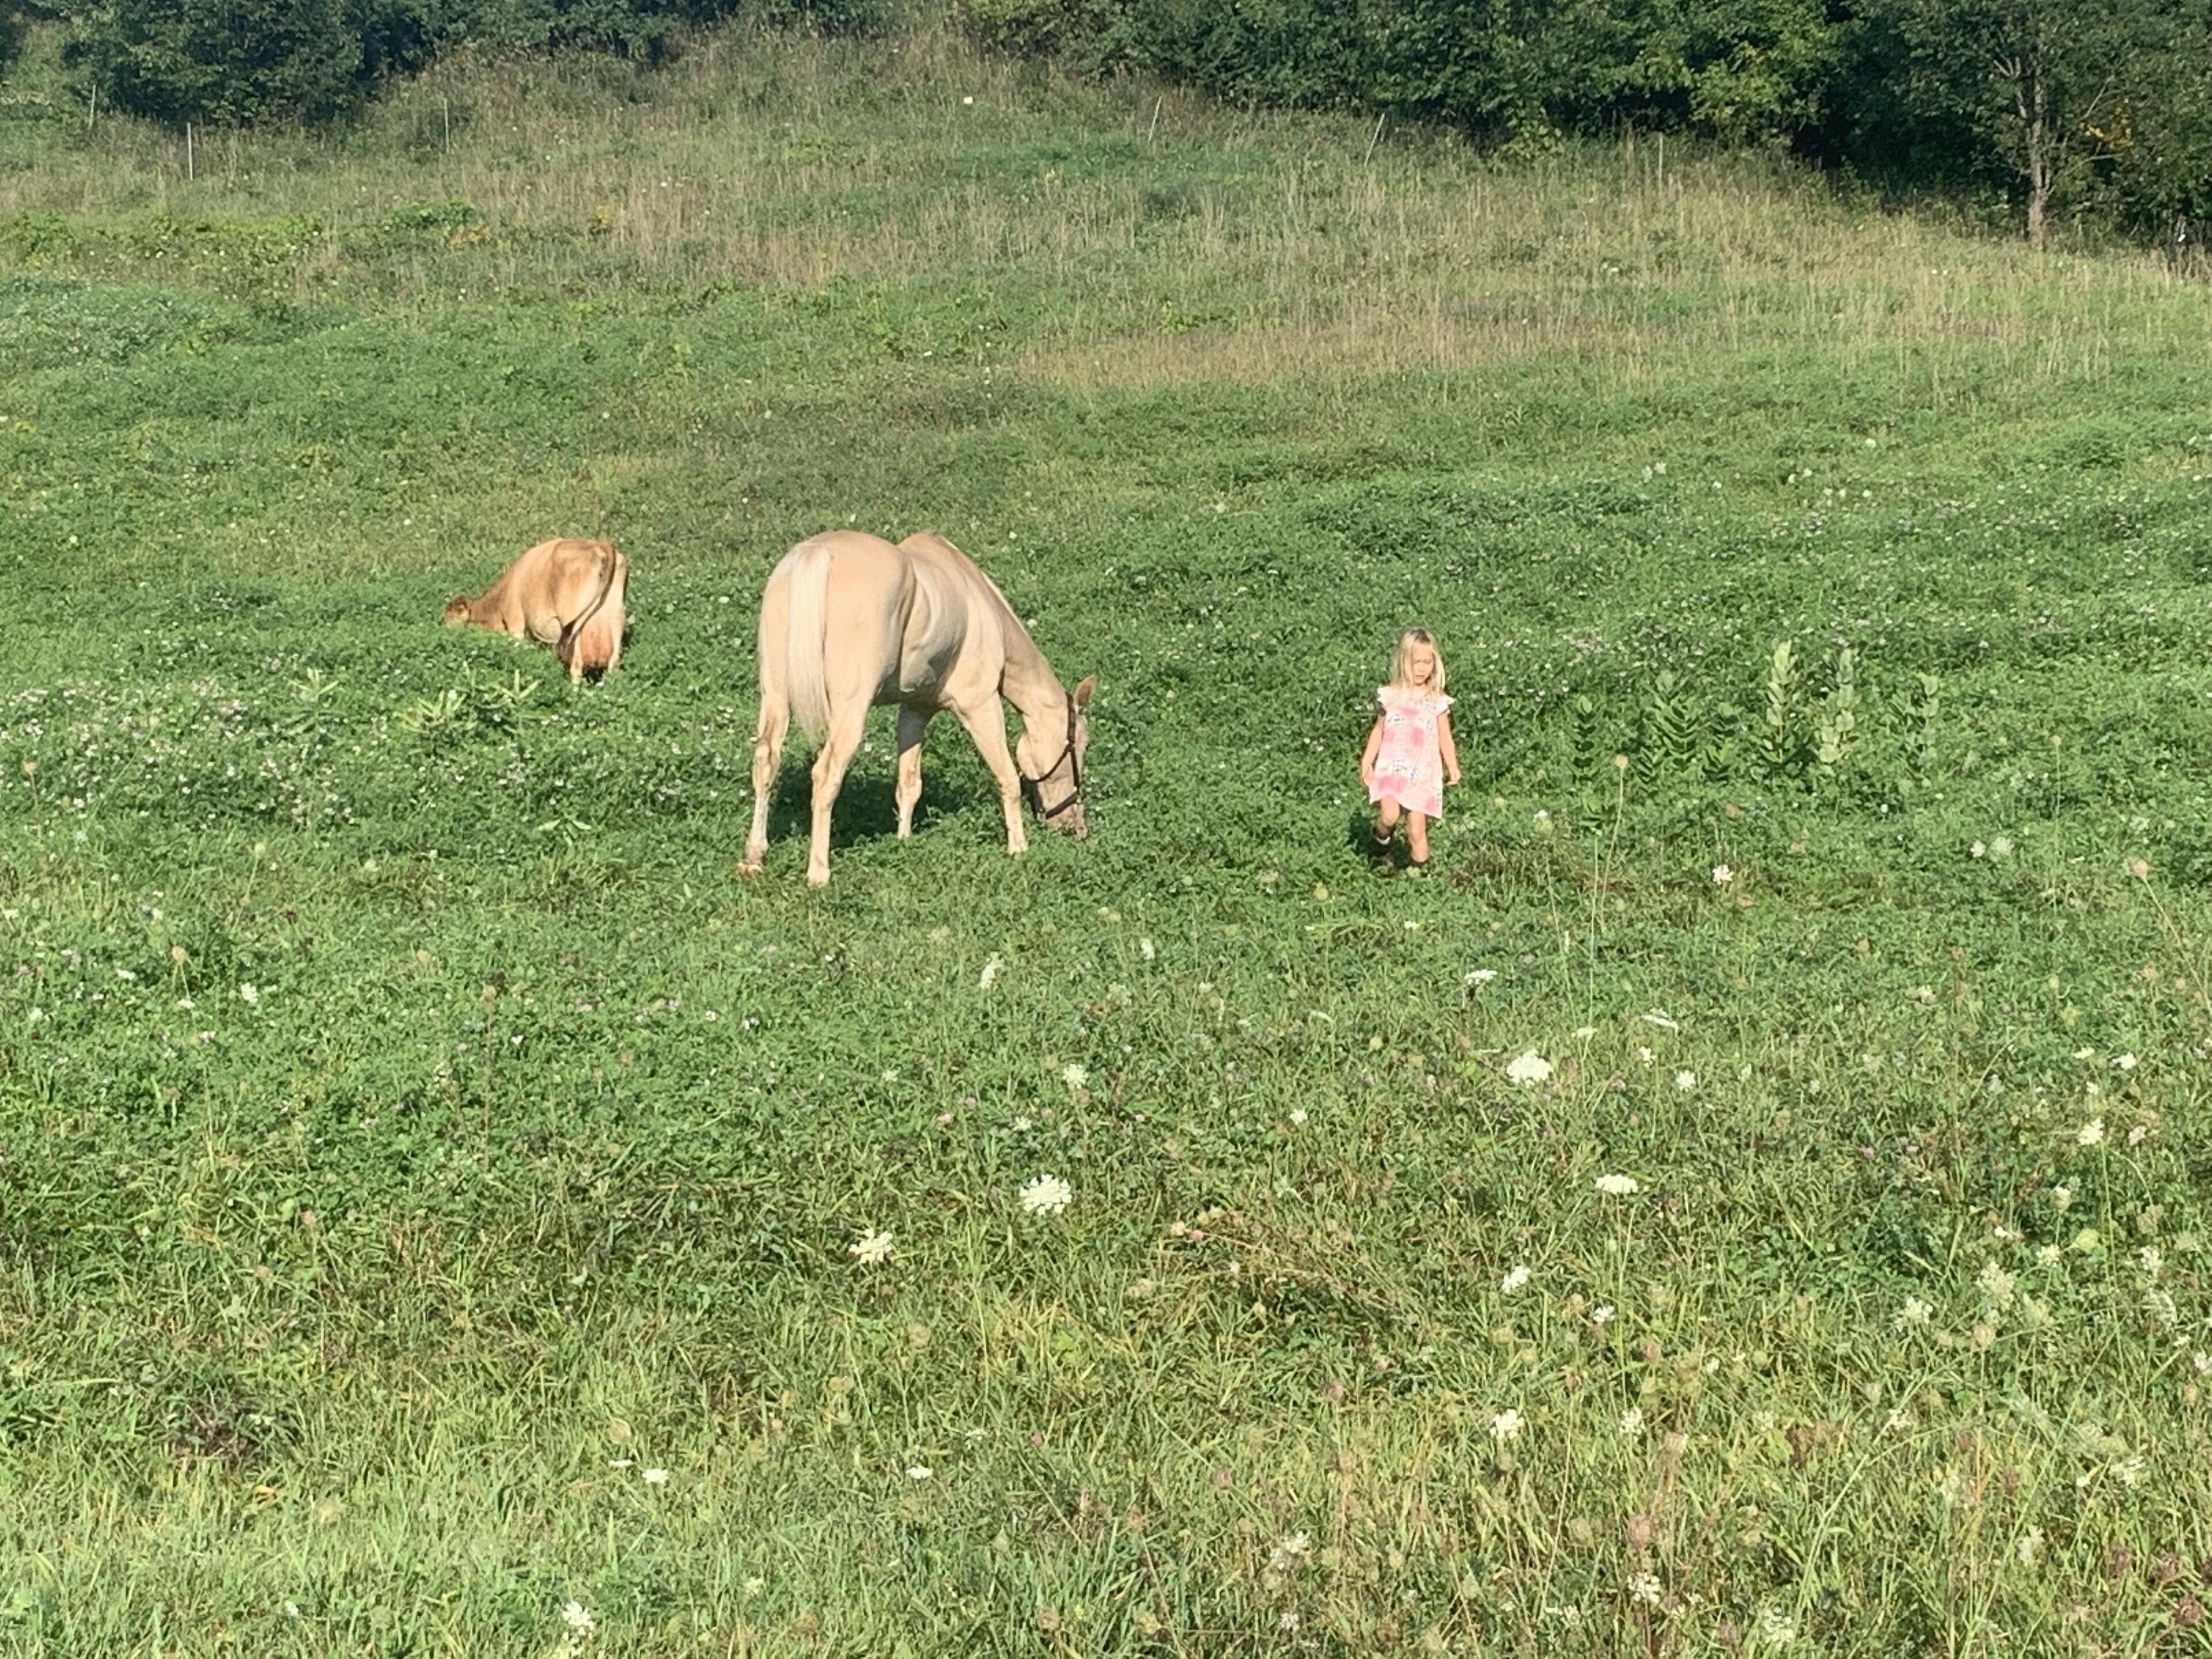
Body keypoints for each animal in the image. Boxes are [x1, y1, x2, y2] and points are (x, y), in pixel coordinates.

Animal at [443, 537, 627, 684]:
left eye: (450, 622)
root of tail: (601, 546)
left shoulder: (516, 625)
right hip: (616, 617)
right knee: (613, 663)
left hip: (573, 622)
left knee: (576, 665)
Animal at [741, 530, 1094, 888]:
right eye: (1080, 745)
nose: (1075, 827)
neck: (981, 606)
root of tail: (817, 553)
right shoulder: (980, 705)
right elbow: (1008, 776)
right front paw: (1019, 847)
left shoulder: (915, 710)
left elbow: (909, 784)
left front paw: (904, 841)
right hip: (850, 710)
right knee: (826, 776)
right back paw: (818, 873)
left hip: (775, 696)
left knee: (766, 761)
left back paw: (754, 857)